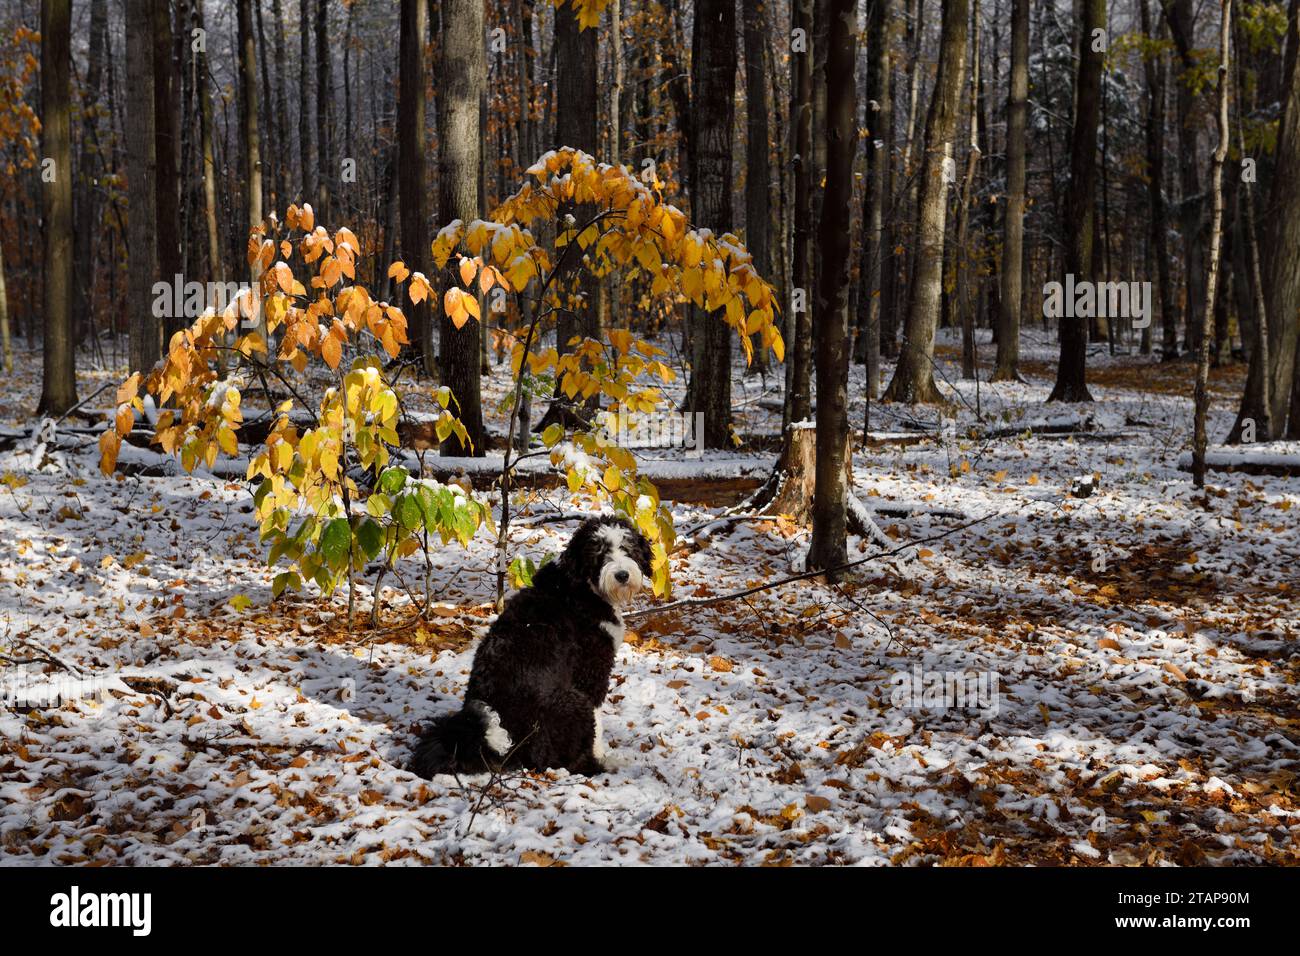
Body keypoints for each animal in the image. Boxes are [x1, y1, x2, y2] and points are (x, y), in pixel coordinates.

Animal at [410, 515, 655, 780]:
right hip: (573, 703)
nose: (622, 575)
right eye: (599, 553)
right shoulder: (591, 672)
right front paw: (601, 753)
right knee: (562, 761)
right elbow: (598, 724)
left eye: (627, 548)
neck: (580, 588)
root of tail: (497, 738)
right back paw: (602, 765)